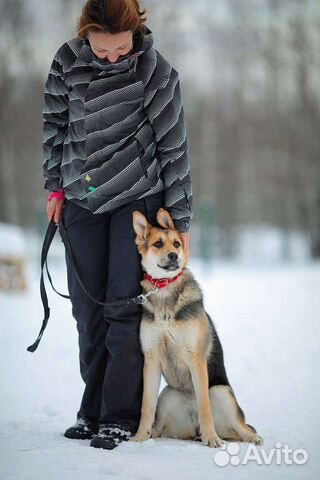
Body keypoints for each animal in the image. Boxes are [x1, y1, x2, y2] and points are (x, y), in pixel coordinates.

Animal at [130, 208, 262, 448]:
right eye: (157, 244)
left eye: (176, 244)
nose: (174, 255)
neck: (165, 291)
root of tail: (193, 431)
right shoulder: (151, 360)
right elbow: (146, 405)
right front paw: (140, 437)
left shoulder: (196, 359)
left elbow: (204, 406)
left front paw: (212, 439)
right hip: (169, 395)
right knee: (160, 426)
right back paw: (158, 435)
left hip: (220, 392)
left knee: (242, 426)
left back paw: (247, 437)